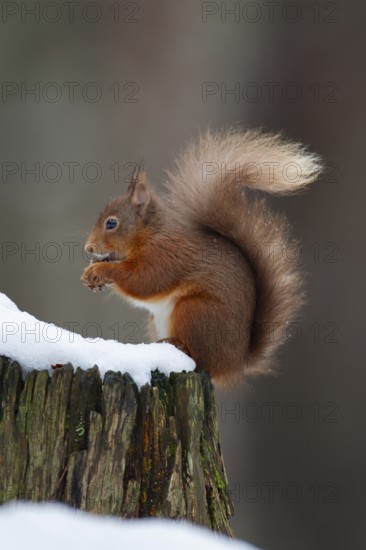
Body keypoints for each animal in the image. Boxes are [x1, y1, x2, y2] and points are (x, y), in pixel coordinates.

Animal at [81, 129, 320, 388]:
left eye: (111, 223)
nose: (88, 248)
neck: (151, 234)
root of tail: (234, 364)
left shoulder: (167, 255)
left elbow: (145, 281)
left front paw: (100, 271)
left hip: (195, 311)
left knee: (200, 359)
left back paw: (177, 345)